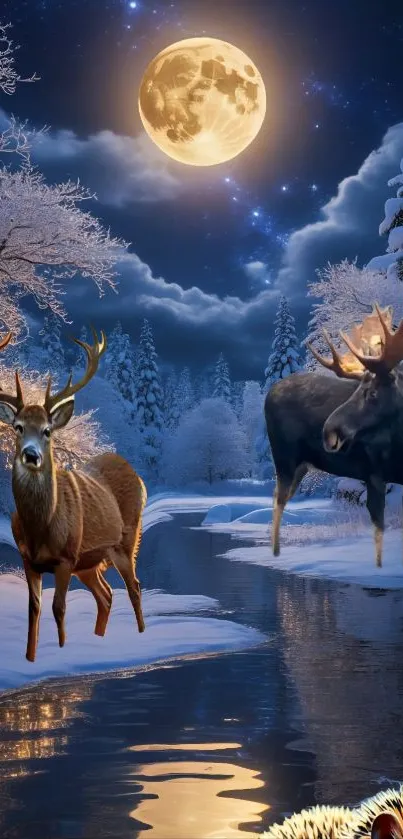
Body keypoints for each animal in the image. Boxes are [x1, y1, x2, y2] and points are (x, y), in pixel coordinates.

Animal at [0, 328, 147, 662]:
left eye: (47, 430)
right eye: (17, 427)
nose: (31, 455)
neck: (41, 528)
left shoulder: (66, 558)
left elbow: (59, 608)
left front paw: (63, 649)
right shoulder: (28, 559)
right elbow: (34, 610)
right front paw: (30, 659)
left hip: (126, 540)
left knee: (133, 587)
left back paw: (141, 637)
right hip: (90, 562)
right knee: (106, 595)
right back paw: (99, 641)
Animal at [265, 303, 403, 568]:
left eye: (371, 393)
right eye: (357, 389)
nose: (328, 431)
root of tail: (270, 391)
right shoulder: (373, 474)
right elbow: (379, 530)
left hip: (301, 465)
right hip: (284, 458)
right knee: (278, 499)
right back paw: (275, 554)